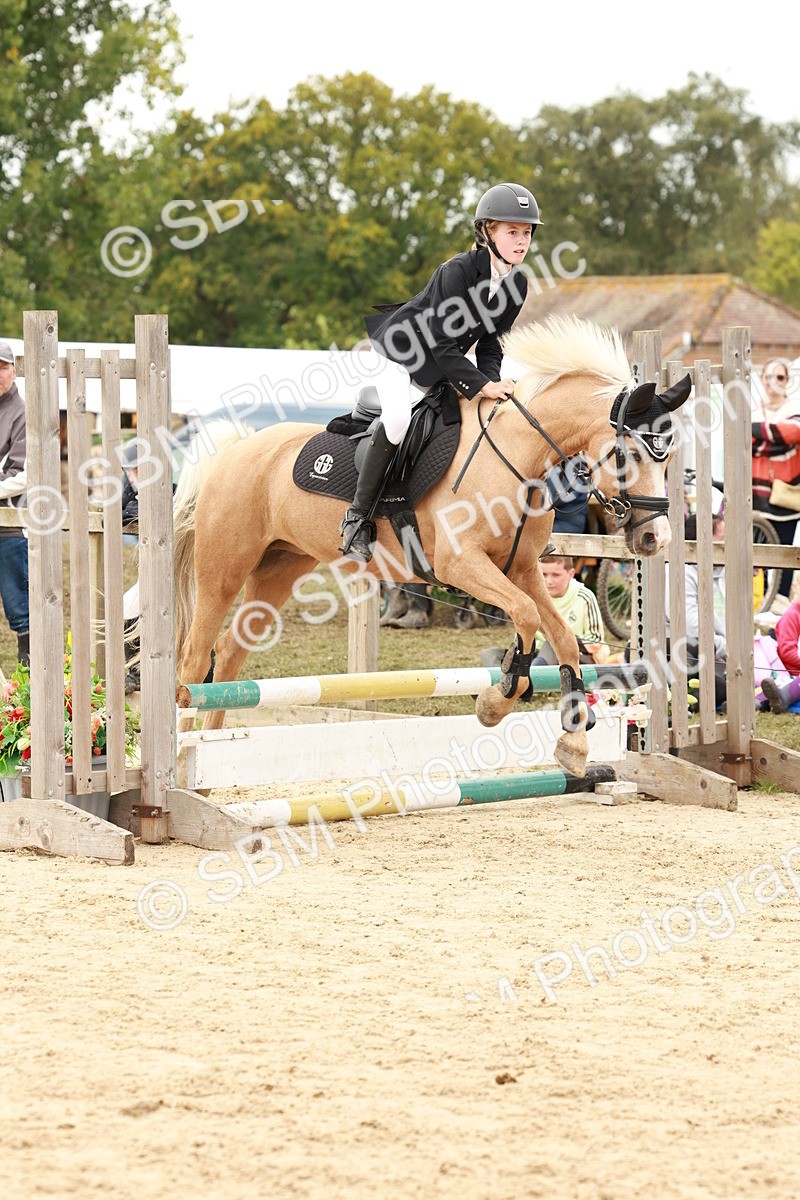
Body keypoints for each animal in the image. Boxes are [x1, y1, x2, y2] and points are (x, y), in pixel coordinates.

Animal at [173, 315, 690, 777]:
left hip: (280, 568)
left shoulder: (522, 570)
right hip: (223, 571)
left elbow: (560, 635)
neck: (521, 456)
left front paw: (573, 742)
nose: (655, 538)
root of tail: (234, 448)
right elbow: (525, 617)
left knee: (231, 653)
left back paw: (212, 749)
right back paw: (180, 757)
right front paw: (498, 698)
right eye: (627, 454)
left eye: (668, 458)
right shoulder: (461, 566)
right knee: (195, 658)